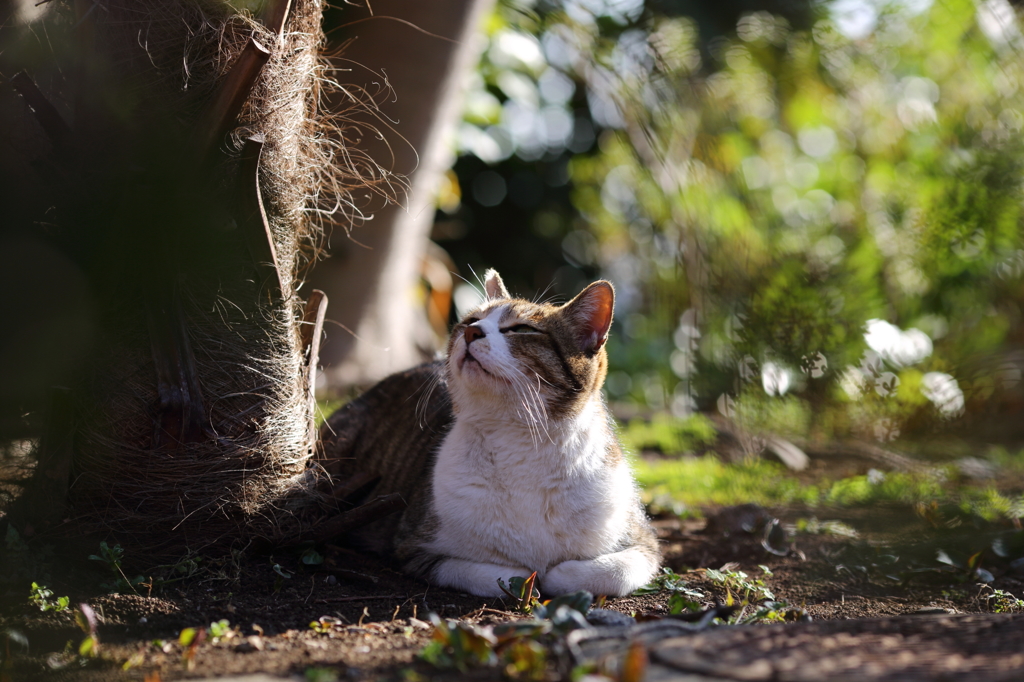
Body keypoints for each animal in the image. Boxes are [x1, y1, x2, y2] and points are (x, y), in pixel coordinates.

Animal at [317, 268, 663, 593]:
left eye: (522, 329)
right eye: (470, 320)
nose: (472, 331)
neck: (519, 441)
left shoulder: (645, 544)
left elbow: (608, 572)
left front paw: (556, 574)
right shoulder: (414, 546)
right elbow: (493, 573)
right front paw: (527, 576)